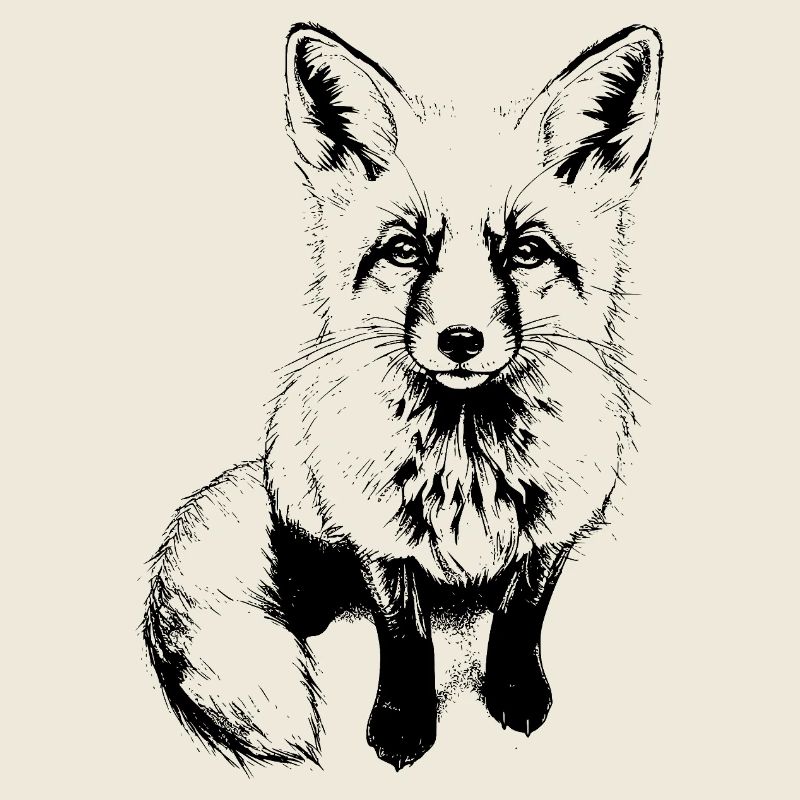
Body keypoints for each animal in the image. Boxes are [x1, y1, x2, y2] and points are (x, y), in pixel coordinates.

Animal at [143, 22, 662, 771]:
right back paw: (306, 597)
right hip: (298, 477)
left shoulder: (554, 528)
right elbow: (405, 637)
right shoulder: (381, 536)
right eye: (406, 250)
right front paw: (402, 723)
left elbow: (519, 614)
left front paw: (514, 692)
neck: (468, 462)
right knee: (297, 545)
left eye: (526, 252)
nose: (461, 340)